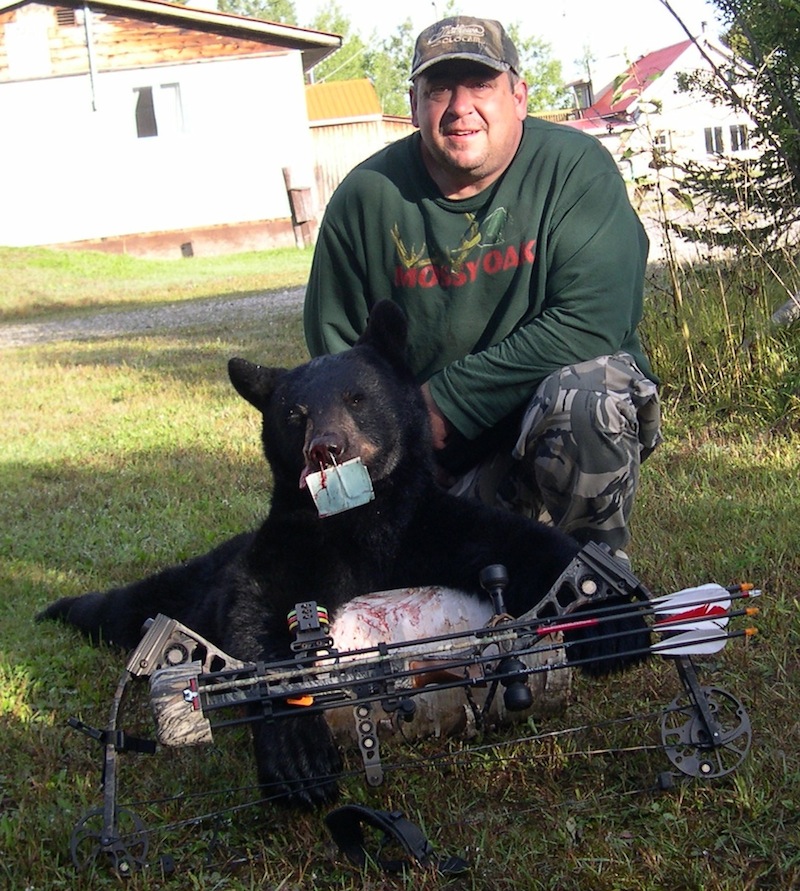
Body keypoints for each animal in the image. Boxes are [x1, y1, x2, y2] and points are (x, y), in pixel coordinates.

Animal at [39, 298, 648, 808]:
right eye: (294, 413)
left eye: (357, 397)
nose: (326, 447)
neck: (361, 521)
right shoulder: (294, 545)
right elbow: (258, 618)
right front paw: (298, 759)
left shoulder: (427, 527)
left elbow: (526, 546)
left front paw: (619, 623)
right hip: (187, 585)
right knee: (132, 602)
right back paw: (64, 608)